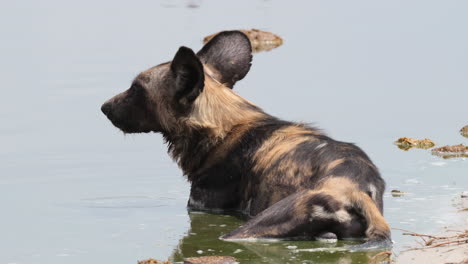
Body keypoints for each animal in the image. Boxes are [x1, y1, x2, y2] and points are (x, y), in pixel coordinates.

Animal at [101, 31, 392, 248]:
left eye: (136, 89)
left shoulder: (201, 208)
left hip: (247, 229)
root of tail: (355, 189)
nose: (104, 107)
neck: (223, 129)